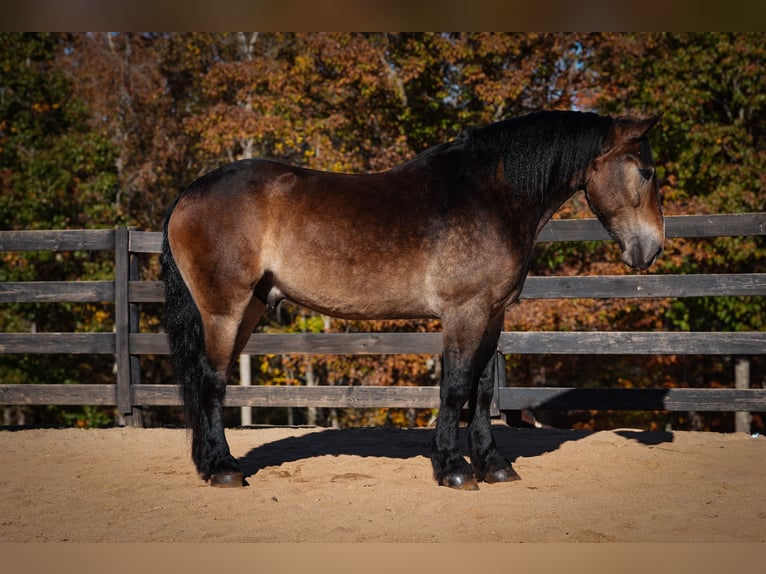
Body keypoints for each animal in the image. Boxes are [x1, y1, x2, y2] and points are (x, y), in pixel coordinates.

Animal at [161, 110, 664, 490]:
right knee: (211, 381)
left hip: (250, 308)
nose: (652, 248)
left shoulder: (493, 314)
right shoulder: (464, 312)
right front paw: (453, 469)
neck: (491, 196)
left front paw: (494, 465)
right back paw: (223, 469)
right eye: (646, 171)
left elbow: (482, 390)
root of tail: (190, 194)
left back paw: (210, 464)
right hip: (224, 310)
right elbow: (455, 387)